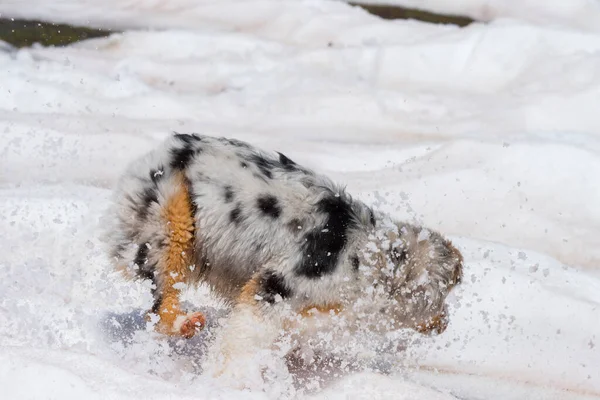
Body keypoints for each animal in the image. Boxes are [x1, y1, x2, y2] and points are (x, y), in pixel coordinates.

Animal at [102, 134, 464, 382]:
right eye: (444, 295)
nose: (446, 323)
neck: (373, 259)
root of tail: (162, 151)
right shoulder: (275, 287)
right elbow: (244, 337)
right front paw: (231, 376)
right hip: (176, 226)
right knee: (162, 304)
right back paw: (186, 323)